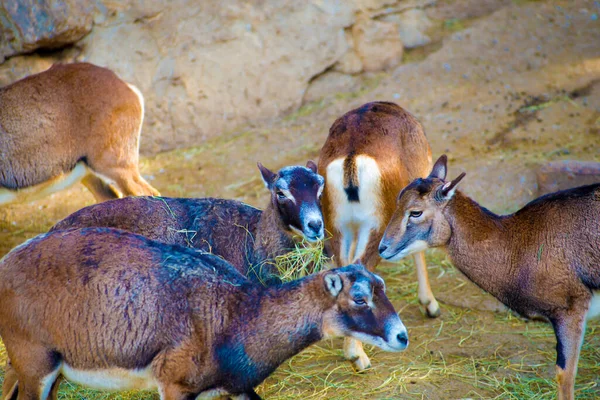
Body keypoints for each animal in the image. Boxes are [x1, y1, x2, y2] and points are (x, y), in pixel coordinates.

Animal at [0, 227, 408, 398]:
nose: (401, 336)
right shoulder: (174, 386)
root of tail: (7, 263)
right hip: (36, 364)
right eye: (359, 298)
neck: (234, 315)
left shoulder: (233, 390)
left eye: (382, 287)